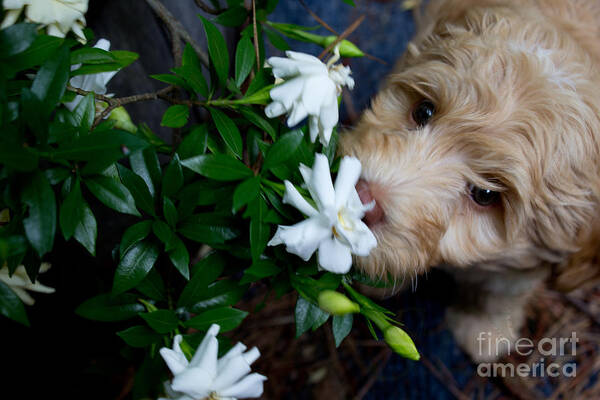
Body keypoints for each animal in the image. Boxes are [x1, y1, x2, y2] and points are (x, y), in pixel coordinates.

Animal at [340, 0, 600, 362]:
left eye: (485, 194)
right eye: (423, 111)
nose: (359, 196)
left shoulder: (525, 265)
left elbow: (499, 295)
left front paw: (484, 333)